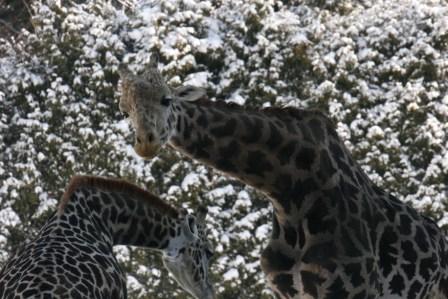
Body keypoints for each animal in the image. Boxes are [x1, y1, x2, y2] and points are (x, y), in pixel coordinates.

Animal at [118, 61, 448, 299]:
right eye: (125, 110)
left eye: (166, 99)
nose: (146, 143)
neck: (289, 191)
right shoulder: (286, 291)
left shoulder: (353, 289)